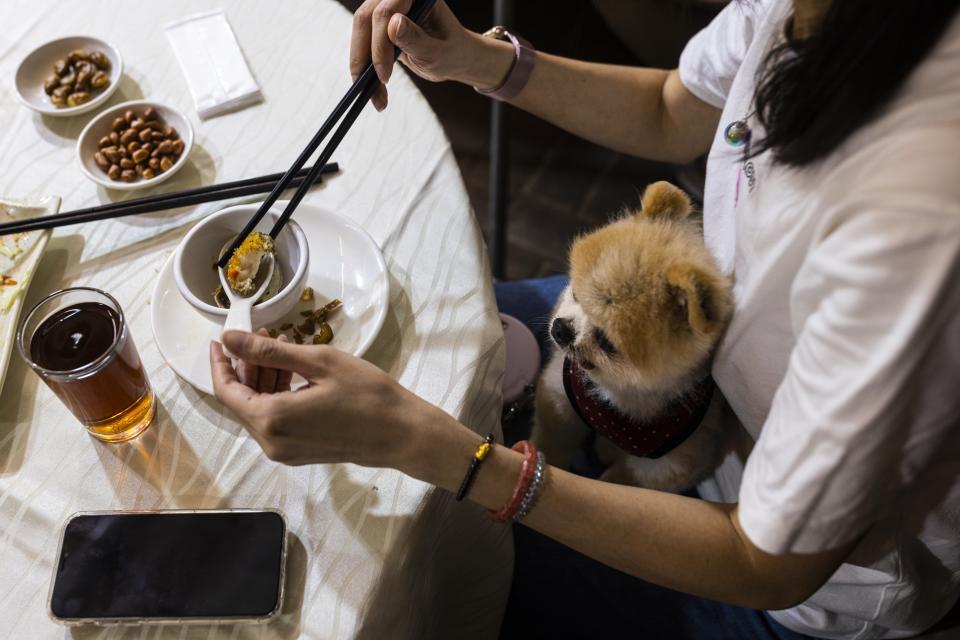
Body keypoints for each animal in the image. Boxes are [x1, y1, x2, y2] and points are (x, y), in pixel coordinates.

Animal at [532, 182, 736, 492]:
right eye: (575, 294)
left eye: (606, 342)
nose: (560, 329)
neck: (621, 394)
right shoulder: (559, 397)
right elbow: (554, 439)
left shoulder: (667, 464)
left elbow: (618, 482)